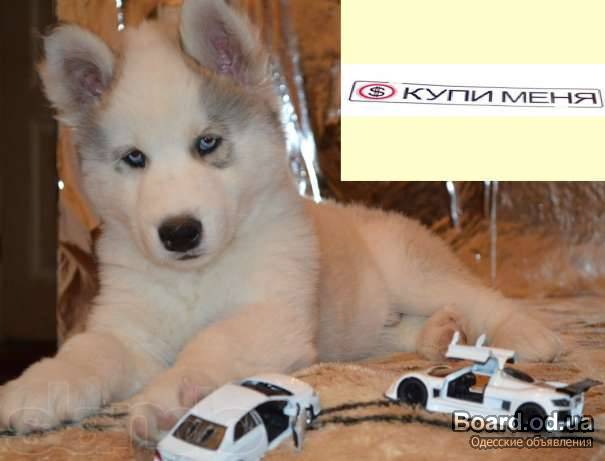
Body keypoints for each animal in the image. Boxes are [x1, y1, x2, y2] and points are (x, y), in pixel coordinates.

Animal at [0, 0, 561, 441]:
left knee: (479, 297)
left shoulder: (273, 315)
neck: (196, 279)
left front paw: (172, 396)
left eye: (207, 143)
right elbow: (91, 350)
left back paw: (527, 333)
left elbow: (213, 340)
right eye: (134, 158)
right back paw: (437, 335)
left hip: (412, 272)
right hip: (361, 325)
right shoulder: (130, 329)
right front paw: (36, 386)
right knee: (390, 333)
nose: (179, 232)